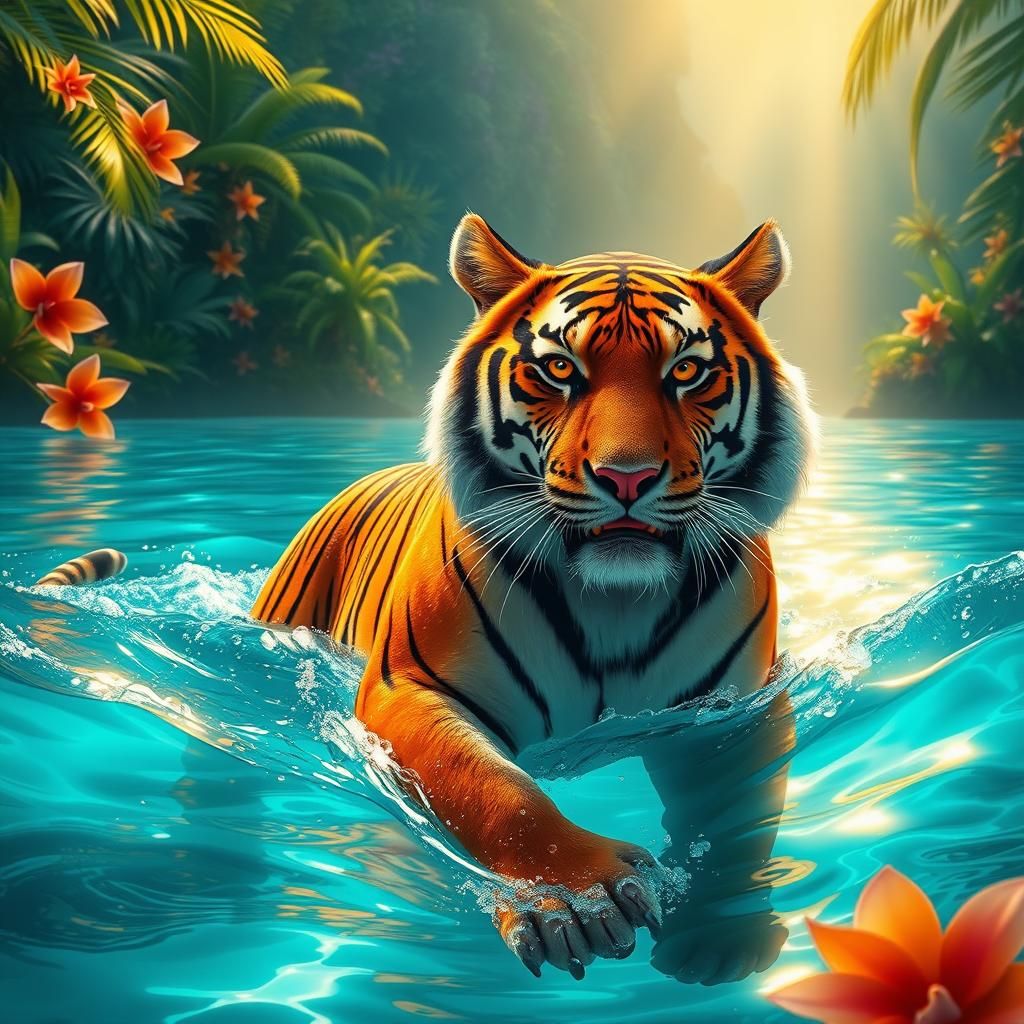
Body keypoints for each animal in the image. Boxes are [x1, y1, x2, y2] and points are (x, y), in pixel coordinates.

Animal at [37, 214, 814, 985]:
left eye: (686, 371)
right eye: (559, 369)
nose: (627, 477)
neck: (612, 603)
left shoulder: (730, 712)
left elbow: (737, 820)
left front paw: (718, 935)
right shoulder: (409, 690)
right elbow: (495, 790)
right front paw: (576, 894)